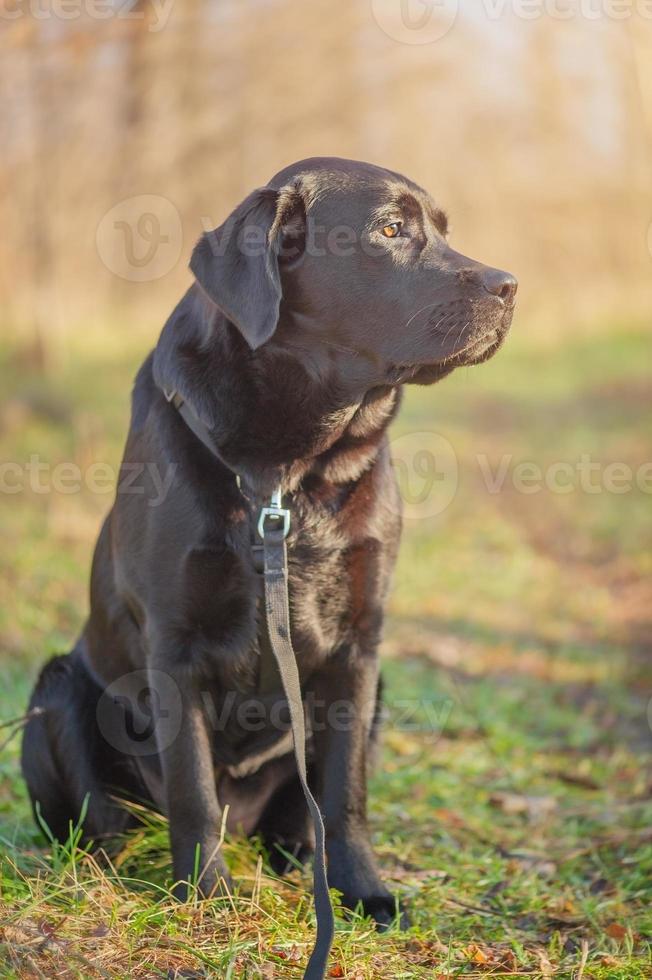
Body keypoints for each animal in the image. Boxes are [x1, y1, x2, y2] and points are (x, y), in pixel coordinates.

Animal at [22, 155, 516, 928]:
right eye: (391, 230)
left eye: (443, 229)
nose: (510, 286)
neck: (288, 474)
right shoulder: (174, 641)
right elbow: (193, 789)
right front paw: (205, 897)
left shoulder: (360, 644)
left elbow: (345, 793)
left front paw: (363, 890)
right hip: (57, 690)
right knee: (105, 819)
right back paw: (101, 871)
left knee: (299, 813)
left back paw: (296, 858)